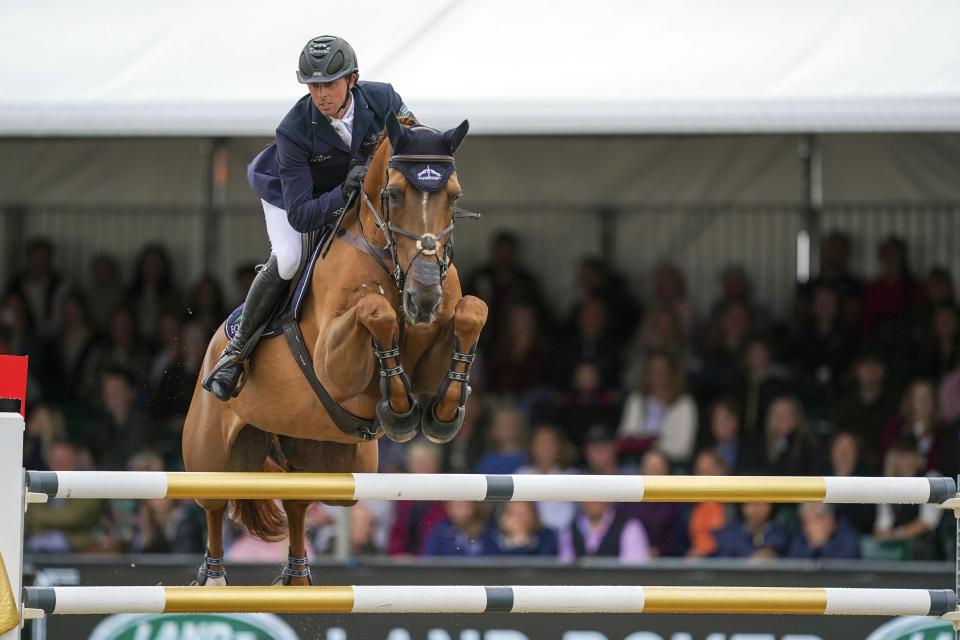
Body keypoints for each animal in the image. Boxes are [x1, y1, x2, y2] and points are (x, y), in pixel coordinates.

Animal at [182, 114, 488, 584]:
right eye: (393, 194)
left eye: (454, 196)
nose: (423, 299)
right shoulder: (333, 365)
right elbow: (375, 310)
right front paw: (399, 409)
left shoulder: (434, 351)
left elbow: (473, 310)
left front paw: (443, 413)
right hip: (212, 452)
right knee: (215, 501)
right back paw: (213, 579)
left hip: (329, 461)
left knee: (298, 501)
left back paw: (296, 578)